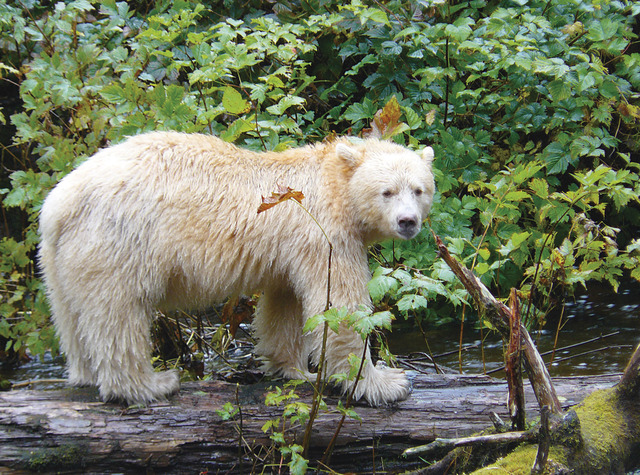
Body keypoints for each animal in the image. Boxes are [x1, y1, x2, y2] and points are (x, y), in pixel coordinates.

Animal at [38, 132, 436, 408]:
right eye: (387, 191)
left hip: (60, 259)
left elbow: (285, 305)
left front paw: (295, 370)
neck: (334, 185)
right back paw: (151, 384)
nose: (407, 221)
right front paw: (385, 383)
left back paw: (85, 374)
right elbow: (338, 306)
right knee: (118, 315)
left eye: (418, 190)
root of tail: (60, 201)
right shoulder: (324, 233)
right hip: (121, 241)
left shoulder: (289, 249)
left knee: (71, 316)